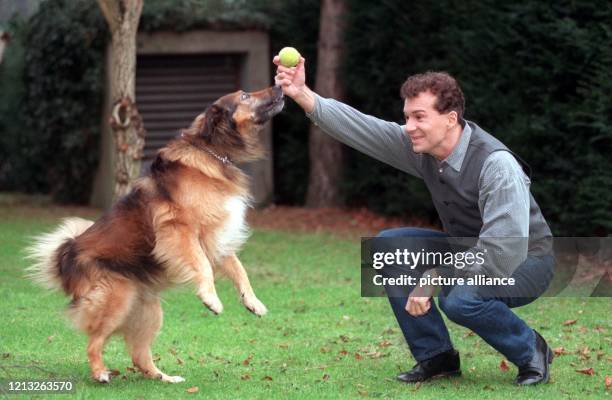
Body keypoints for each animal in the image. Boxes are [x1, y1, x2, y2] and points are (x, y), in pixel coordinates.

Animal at [27, 85, 286, 384]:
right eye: (244, 96)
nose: (280, 86)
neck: (211, 151)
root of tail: (66, 254)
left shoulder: (216, 237)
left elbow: (239, 270)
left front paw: (253, 302)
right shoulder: (180, 231)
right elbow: (203, 267)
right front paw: (211, 300)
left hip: (148, 311)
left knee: (139, 356)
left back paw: (165, 378)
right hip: (116, 299)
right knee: (94, 341)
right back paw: (100, 372)